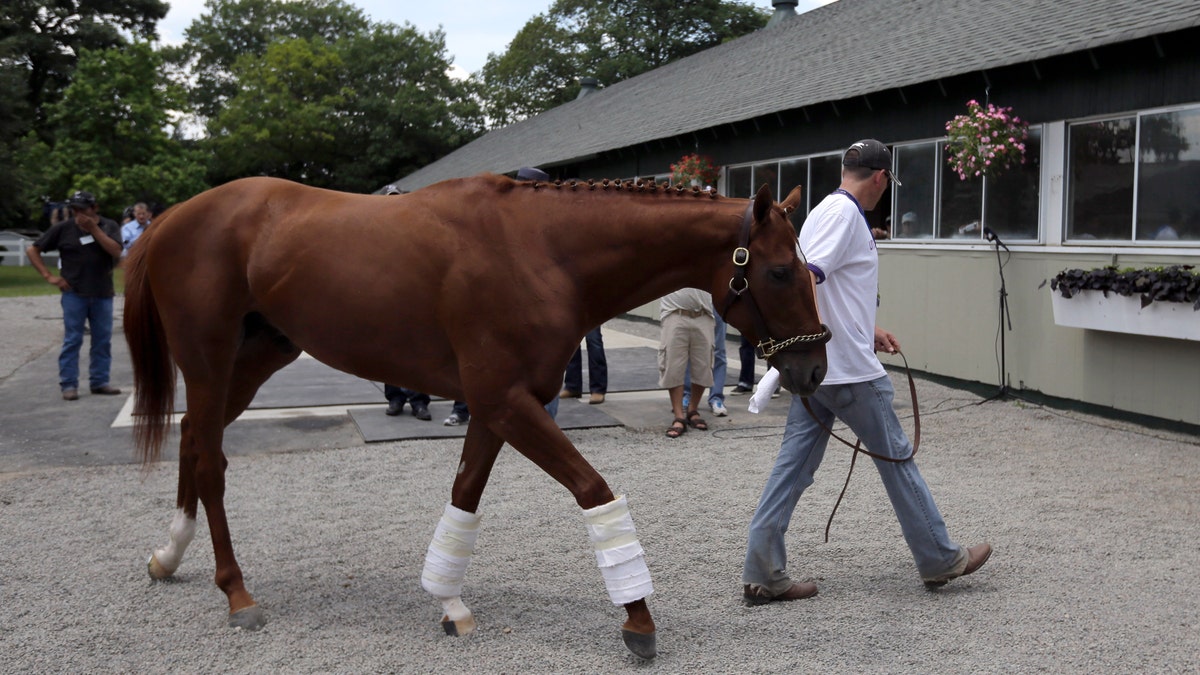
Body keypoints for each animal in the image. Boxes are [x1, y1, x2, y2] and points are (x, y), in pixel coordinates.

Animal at [126, 171, 830, 658]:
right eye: (778, 271)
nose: (814, 371)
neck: (539, 250)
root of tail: (174, 217)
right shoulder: (505, 401)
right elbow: (592, 490)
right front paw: (637, 618)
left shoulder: (500, 406)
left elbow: (465, 494)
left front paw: (449, 601)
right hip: (209, 359)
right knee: (210, 458)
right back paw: (235, 592)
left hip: (259, 354)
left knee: (193, 437)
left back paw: (168, 554)